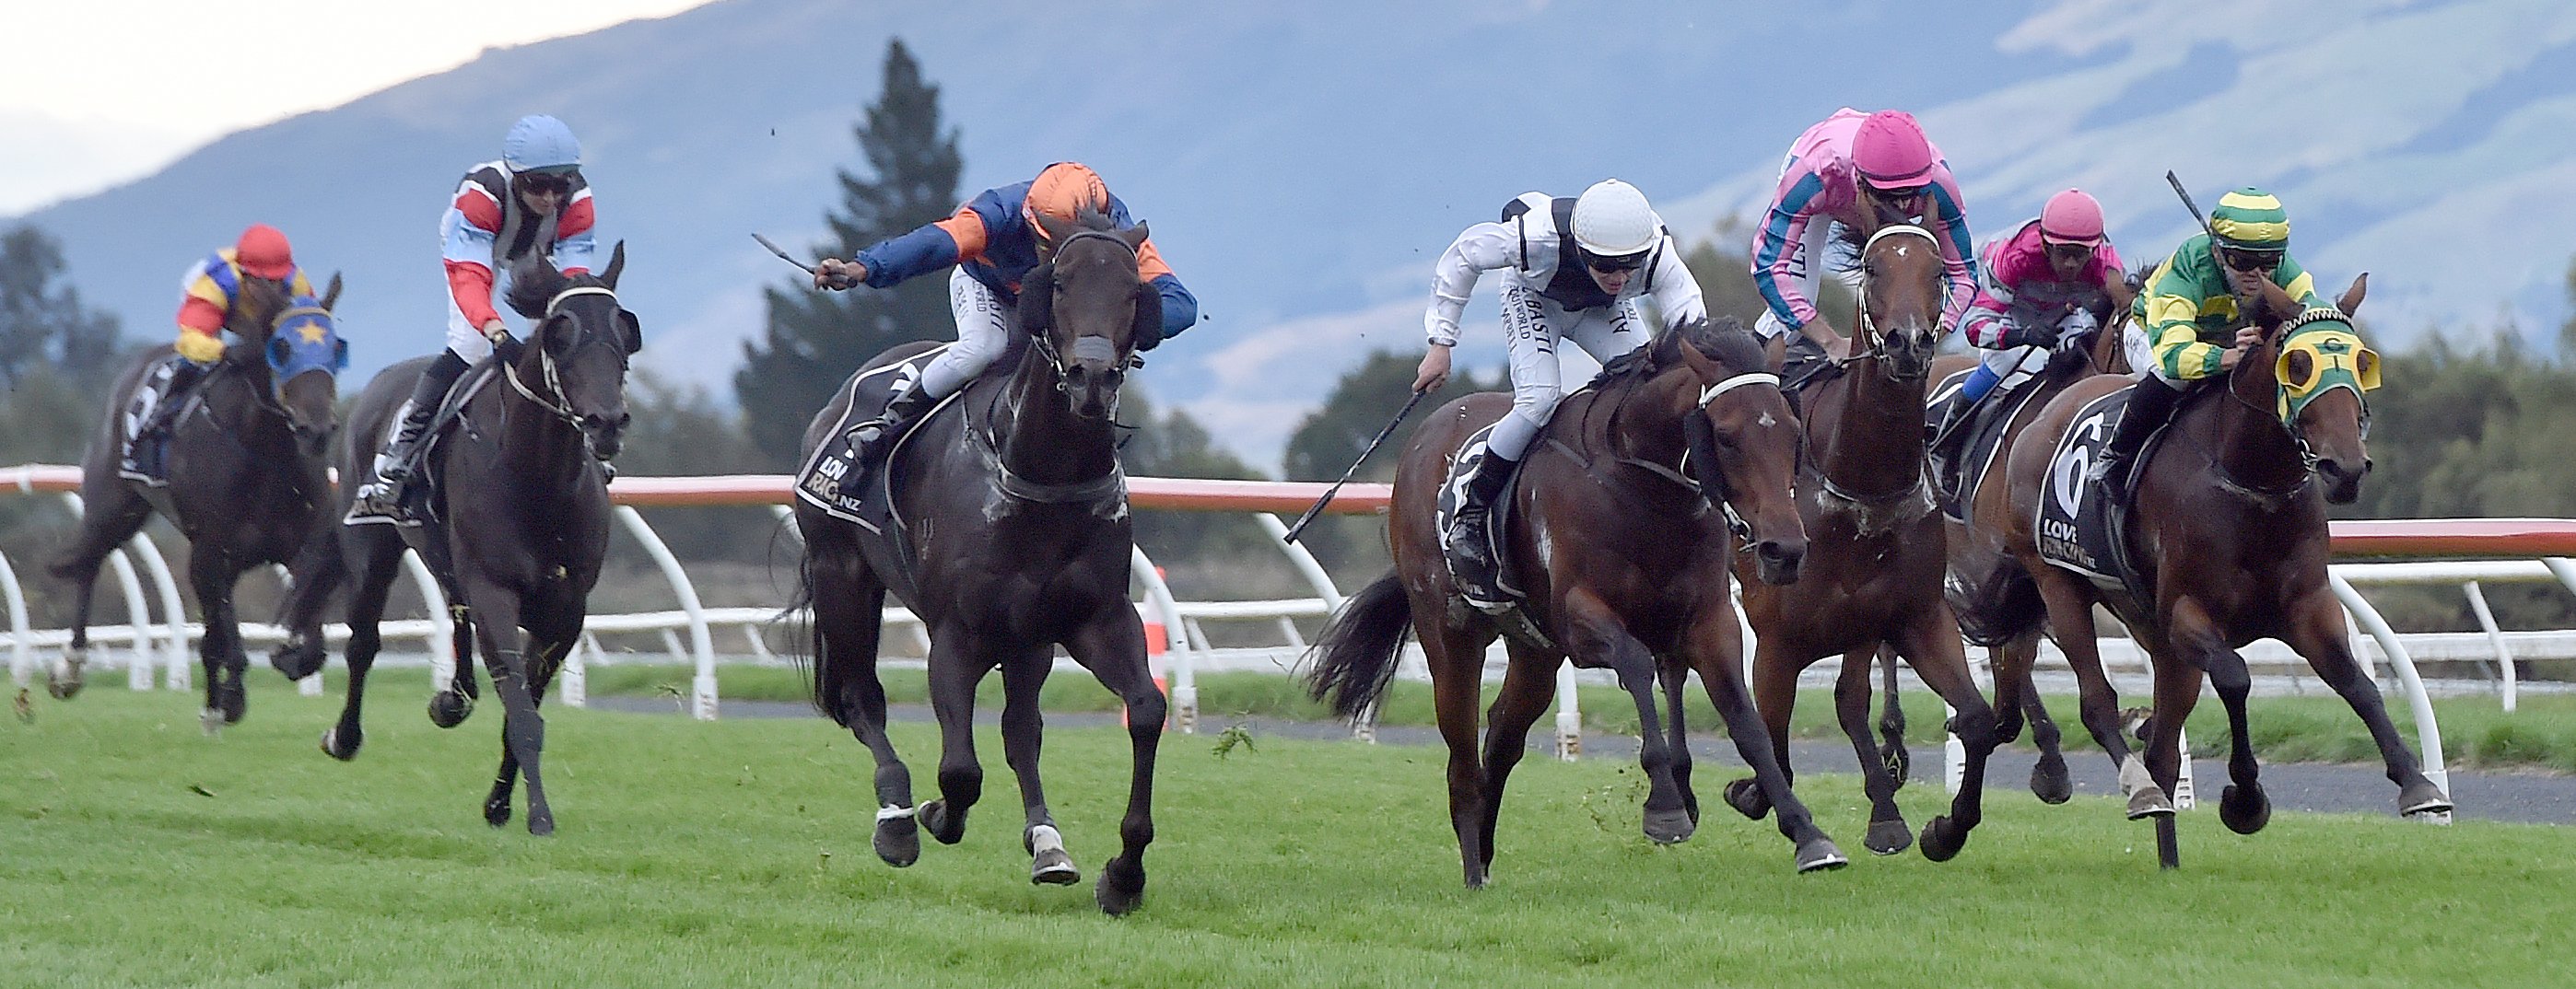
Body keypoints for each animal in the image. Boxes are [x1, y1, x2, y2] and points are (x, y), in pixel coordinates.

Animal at [1308, 312, 1855, 886]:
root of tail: (1420, 443)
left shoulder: (1709, 620)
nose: (1785, 550)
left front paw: (1807, 833)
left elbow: (1746, 720)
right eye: (1725, 438)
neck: (1643, 490)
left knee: (1502, 734)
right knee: (1460, 750)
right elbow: (1635, 663)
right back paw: (1473, 866)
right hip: (1448, 632)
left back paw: (1485, 850)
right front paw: (1665, 806)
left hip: (1535, 651)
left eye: (1793, 432)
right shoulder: (1580, 618)